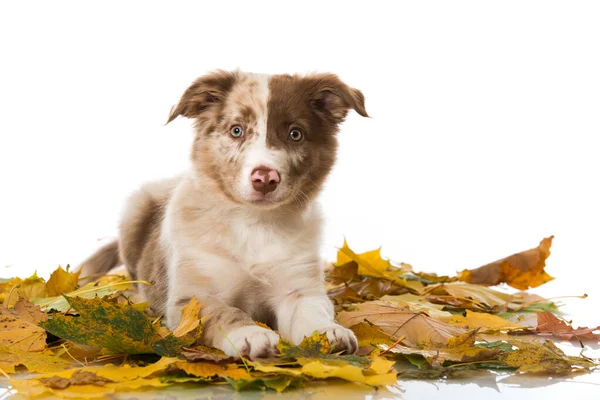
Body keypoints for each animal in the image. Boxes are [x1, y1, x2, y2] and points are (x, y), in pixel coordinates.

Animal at [81, 71, 368, 360]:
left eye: (295, 134)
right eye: (236, 130)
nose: (265, 179)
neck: (254, 223)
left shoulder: (300, 289)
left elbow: (312, 313)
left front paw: (328, 332)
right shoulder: (193, 298)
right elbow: (225, 313)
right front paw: (250, 333)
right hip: (134, 208)